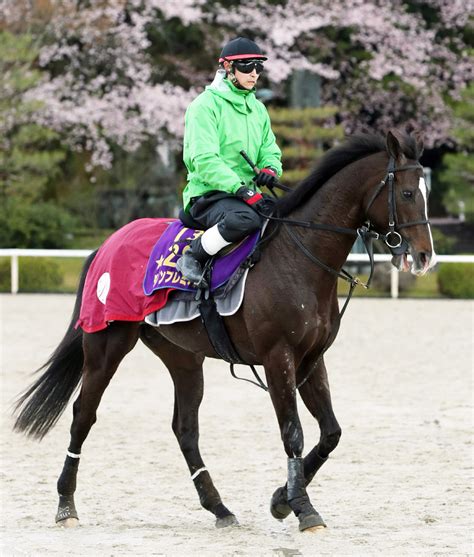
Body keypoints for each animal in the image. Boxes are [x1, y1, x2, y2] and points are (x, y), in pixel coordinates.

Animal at [12, 129, 436, 528]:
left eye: (425, 192)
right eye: (408, 192)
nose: (424, 256)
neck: (298, 256)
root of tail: (108, 243)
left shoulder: (311, 359)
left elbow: (330, 432)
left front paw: (282, 498)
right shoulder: (278, 358)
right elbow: (293, 433)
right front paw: (302, 507)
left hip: (183, 357)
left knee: (185, 428)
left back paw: (218, 506)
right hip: (106, 346)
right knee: (83, 414)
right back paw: (66, 504)